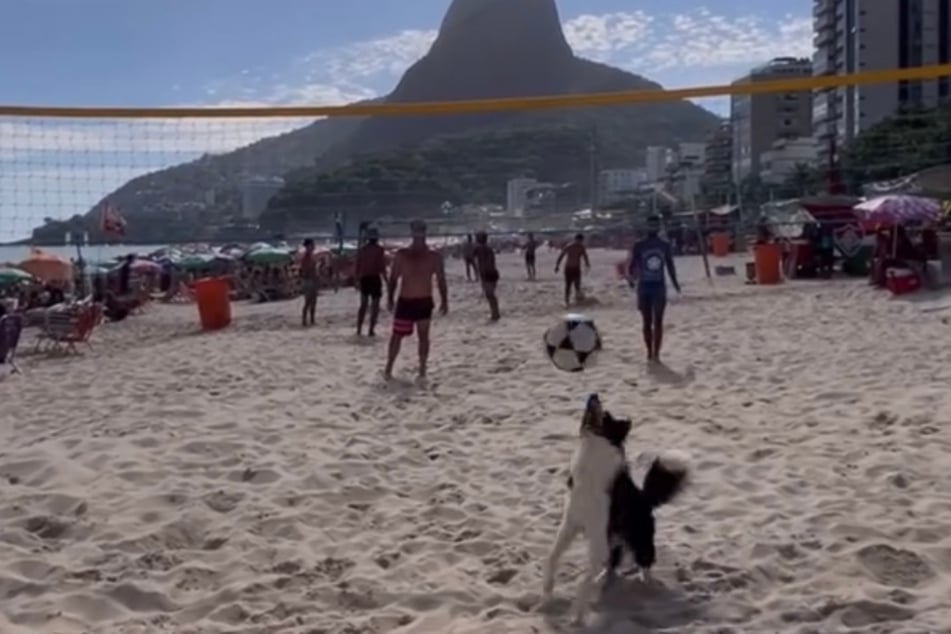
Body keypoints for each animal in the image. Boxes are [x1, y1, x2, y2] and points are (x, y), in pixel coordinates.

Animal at [544, 392, 692, 620]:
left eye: (606, 416)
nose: (593, 395)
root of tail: (644, 497)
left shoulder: (597, 537)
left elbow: (583, 580)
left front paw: (577, 614)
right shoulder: (570, 524)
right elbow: (553, 555)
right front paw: (548, 589)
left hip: (638, 537)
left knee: (645, 561)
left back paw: (647, 583)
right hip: (613, 537)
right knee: (613, 562)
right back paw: (603, 578)